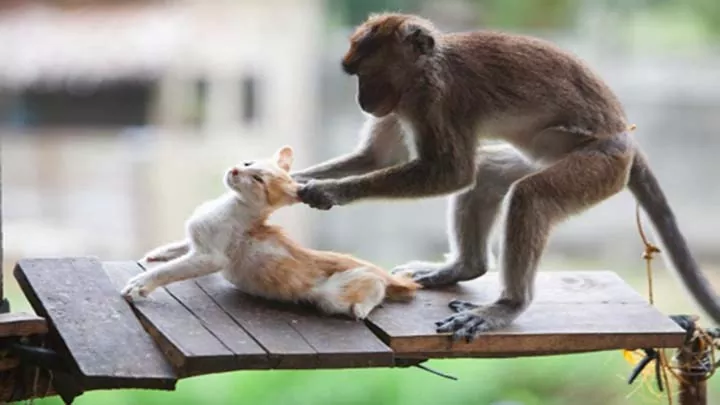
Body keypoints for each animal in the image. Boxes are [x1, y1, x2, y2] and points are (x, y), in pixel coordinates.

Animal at [290, 12, 720, 341]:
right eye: (355, 74)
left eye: (367, 72)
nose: (362, 99)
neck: (430, 66)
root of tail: (625, 135)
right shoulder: (406, 103)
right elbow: (378, 156)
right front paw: (288, 176)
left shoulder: (438, 99)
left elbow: (452, 172)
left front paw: (329, 192)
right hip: (549, 156)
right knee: (490, 177)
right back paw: (464, 267)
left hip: (601, 164)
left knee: (532, 195)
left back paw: (508, 305)